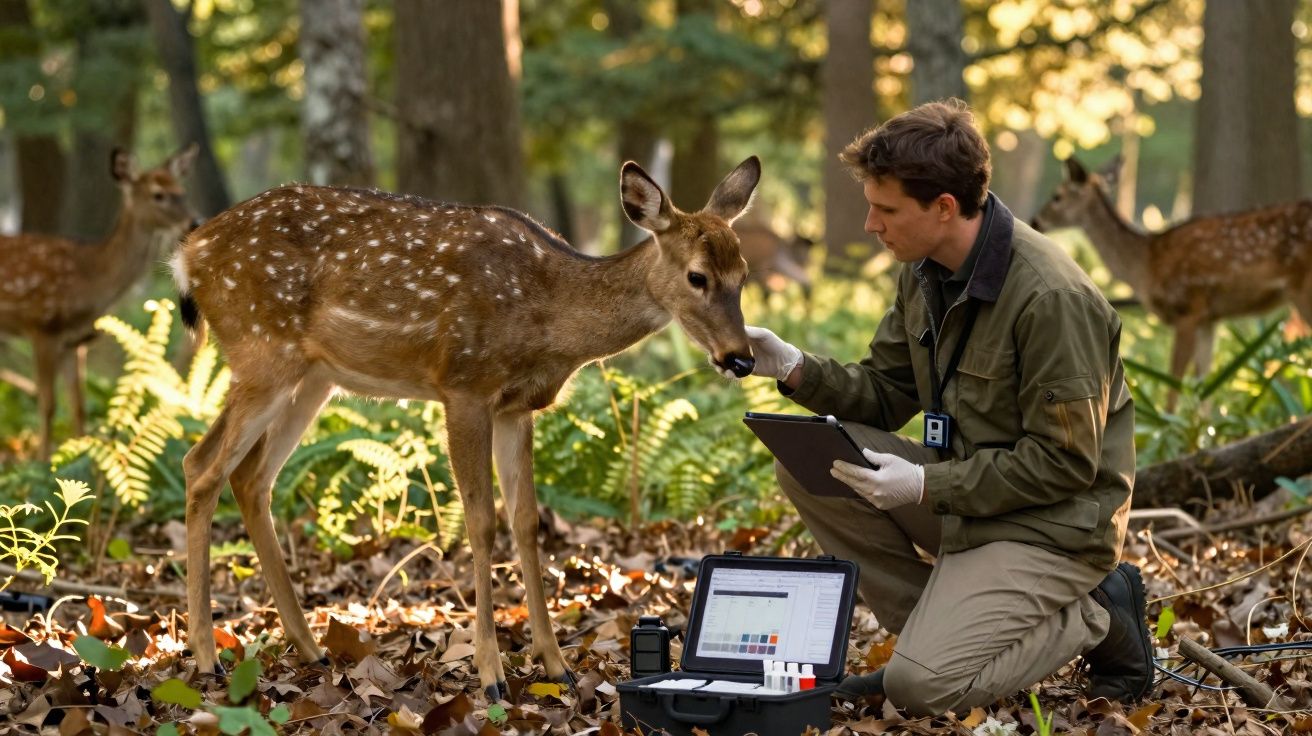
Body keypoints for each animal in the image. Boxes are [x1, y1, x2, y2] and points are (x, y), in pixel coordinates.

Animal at [0, 144, 199, 459]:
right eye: (158, 194)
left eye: (182, 190)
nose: (194, 222)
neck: (90, 279)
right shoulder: (42, 326)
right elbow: (47, 405)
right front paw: (42, 462)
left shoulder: (74, 342)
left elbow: (78, 407)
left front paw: (80, 454)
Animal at [171, 156, 761, 699]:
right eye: (697, 276)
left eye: (743, 275)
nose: (741, 358)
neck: (550, 319)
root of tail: (187, 254)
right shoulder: (464, 386)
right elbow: (480, 522)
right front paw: (491, 674)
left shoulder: (517, 408)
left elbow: (525, 520)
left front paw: (556, 665)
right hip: (261, 348)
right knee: (203, 467)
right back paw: (206, 656)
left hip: (312, 376)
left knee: (248, 475)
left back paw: (310, 648)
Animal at [1032, 157, 1312, 399]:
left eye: (1057, 196)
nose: (1035, 221)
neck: (1145, 264)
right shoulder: (1209, 319)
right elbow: (1203, 389)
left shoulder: (1186, 309)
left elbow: (1174, 387)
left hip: (1303, 292)